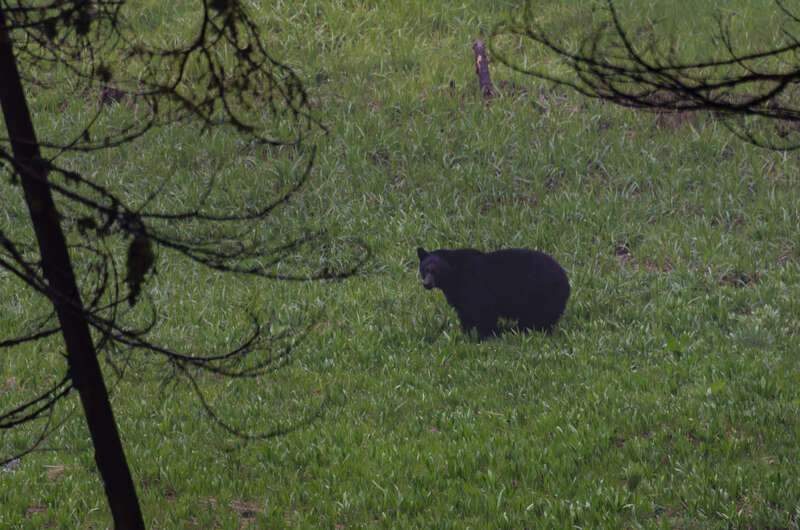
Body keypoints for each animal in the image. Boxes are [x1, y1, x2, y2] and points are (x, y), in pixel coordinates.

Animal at [416, 247, 570, 340]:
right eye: (424, 269)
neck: (455, 276)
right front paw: (466, 333)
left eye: (435, 271)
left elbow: (484, 311)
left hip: (540, 292)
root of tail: (565, 277)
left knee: (541, 317)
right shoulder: (459, 295)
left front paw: (483, 336)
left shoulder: (475, 284)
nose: (426, 284)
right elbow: (465, 312)